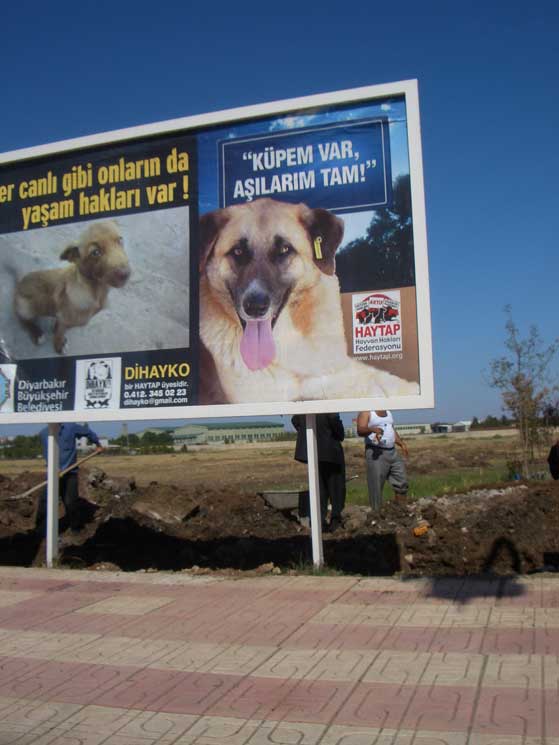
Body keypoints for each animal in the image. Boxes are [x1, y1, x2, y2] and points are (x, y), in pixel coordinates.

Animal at [14, 219, 131, 354]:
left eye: (120, 240)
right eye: (95, 252)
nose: (126, 274)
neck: (95, 290)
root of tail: (19, 284)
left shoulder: (66, 319)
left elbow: (60, 328)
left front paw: (56, 330)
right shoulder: (65, 318)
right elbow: (60, 333)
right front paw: (59, 345)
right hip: (26, 307)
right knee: (22, 319)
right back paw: (37, 333)